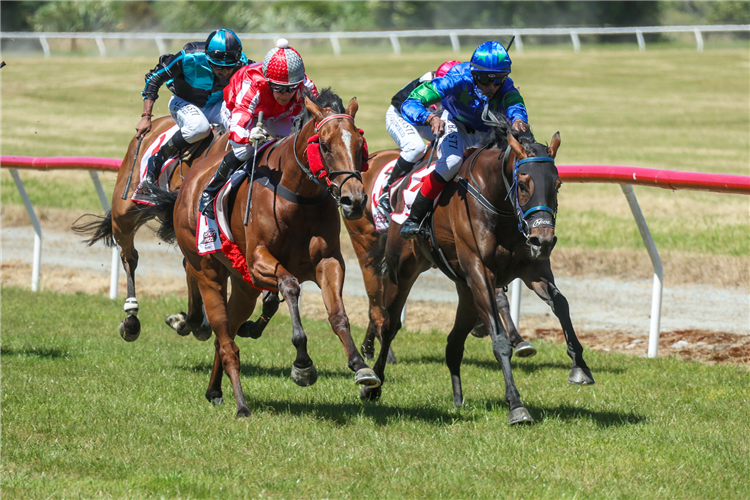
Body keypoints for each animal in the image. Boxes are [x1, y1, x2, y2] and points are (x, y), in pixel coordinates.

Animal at [139, 88, 382, 416]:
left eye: (359, 144)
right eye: (325, 145)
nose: (353, 201)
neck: (299, 196)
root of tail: (189, 183)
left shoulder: (328, 261)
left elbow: (338, 314)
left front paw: (361, 366)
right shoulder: (258, 263)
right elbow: (290, 286)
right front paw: (302, 363)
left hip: (243, 287)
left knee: (226, 335)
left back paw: (215, 390)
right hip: (209, 272)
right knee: (225, 338)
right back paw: (241, 405)